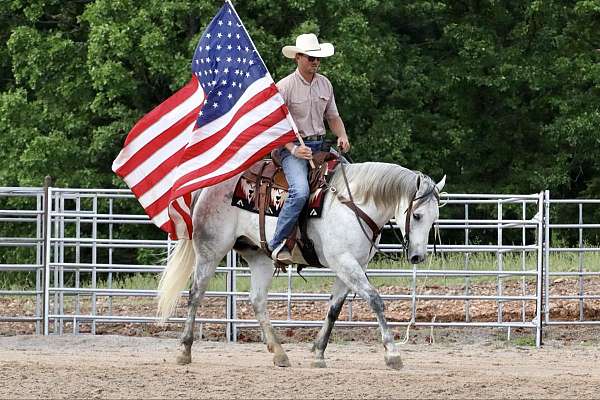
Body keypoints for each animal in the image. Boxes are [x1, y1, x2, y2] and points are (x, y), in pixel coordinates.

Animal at [158, 161, 446, 370]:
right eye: (417, 215)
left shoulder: (349, 266)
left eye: (435, 217)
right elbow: (375, 300)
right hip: (211, 249)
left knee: (257, 299)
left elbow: (333, 309)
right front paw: (392, 354)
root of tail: (209, 186)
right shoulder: (345, 262)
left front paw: (318, 353)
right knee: (196, 293)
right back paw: (184, 350)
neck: (354, 205)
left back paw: (279, 353)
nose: (418, 257)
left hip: (259, 256)